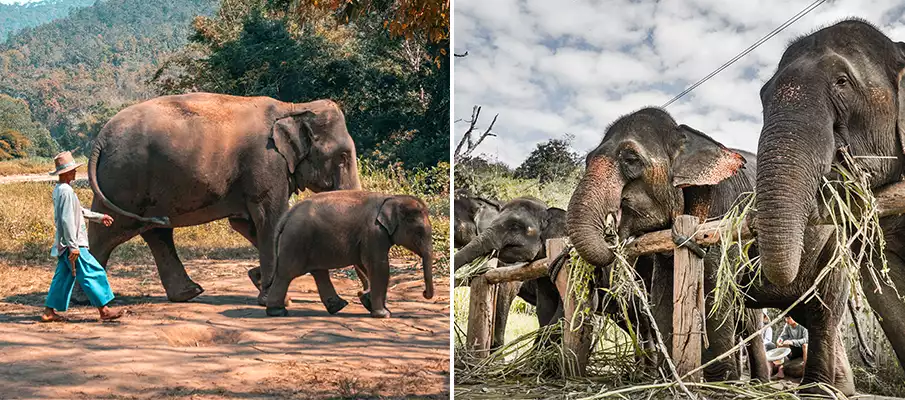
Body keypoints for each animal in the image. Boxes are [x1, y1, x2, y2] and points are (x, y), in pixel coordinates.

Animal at [85, 91, 360, 304]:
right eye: (343, 156)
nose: (361, 297)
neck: (293, 107)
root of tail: (100, 139)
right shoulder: (266, 164)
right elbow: (270, 219)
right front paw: (272, 296)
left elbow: (246, 224)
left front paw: (258, 279)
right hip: (125, 180)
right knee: (109, 231)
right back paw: (88, 299)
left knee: (155, 231)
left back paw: (188, 293)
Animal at [262, 191, 434, 318]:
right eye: (419, 232)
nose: (424, 293)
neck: (392, 198)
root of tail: (287, 215)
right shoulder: (374, 232)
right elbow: (379, 266)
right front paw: (384, 314)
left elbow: (365, 265)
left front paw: (367, 300)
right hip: (296, 240)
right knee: (286, 274)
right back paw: (277, 311)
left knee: (318, 272)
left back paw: (338, 307)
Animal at [564, 108, 768, 382]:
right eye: (587, 160)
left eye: (631, 159)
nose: (611, 235)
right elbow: (663, 293)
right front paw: (667, 378)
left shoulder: (725, 214)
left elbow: (713, 289)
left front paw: (720, 381)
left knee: (748, 318)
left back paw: (757, 382)